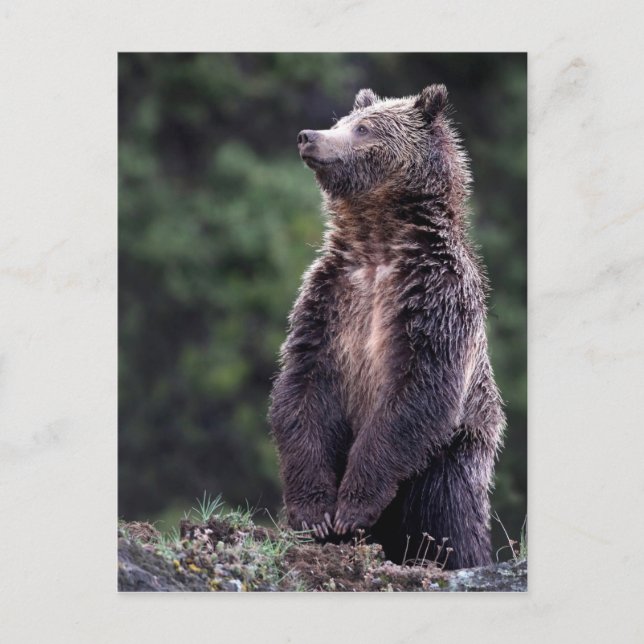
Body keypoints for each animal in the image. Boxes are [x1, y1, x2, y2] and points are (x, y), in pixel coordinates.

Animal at [269, 84, 505, 570]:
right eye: (340, 120)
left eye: (364, 128)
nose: (308, 136)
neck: (378, 242)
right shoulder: (329, 301)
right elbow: (301, 388)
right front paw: (315, 514)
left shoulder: (434, 301)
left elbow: (417, 391)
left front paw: (351, 507)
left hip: (452, 459)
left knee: (450, 517)